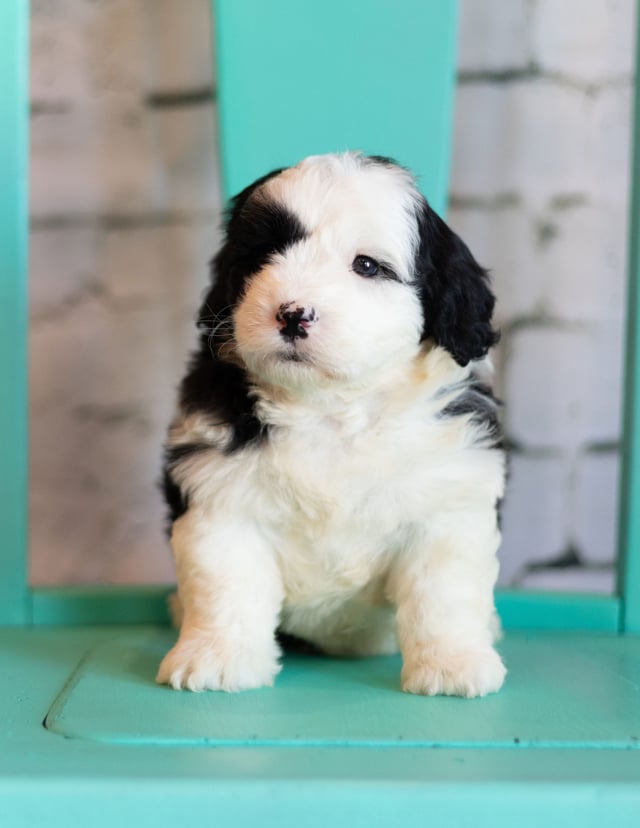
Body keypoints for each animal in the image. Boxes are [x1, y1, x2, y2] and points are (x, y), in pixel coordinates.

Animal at [158, 150, 508, 700]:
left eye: (367, 266)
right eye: (264, 255)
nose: (292, 313)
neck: (330, 409)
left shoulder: (448, 498)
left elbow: (443, 592)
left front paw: (453, 665)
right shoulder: (221, 496)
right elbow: (224, 582)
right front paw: (215, 659)